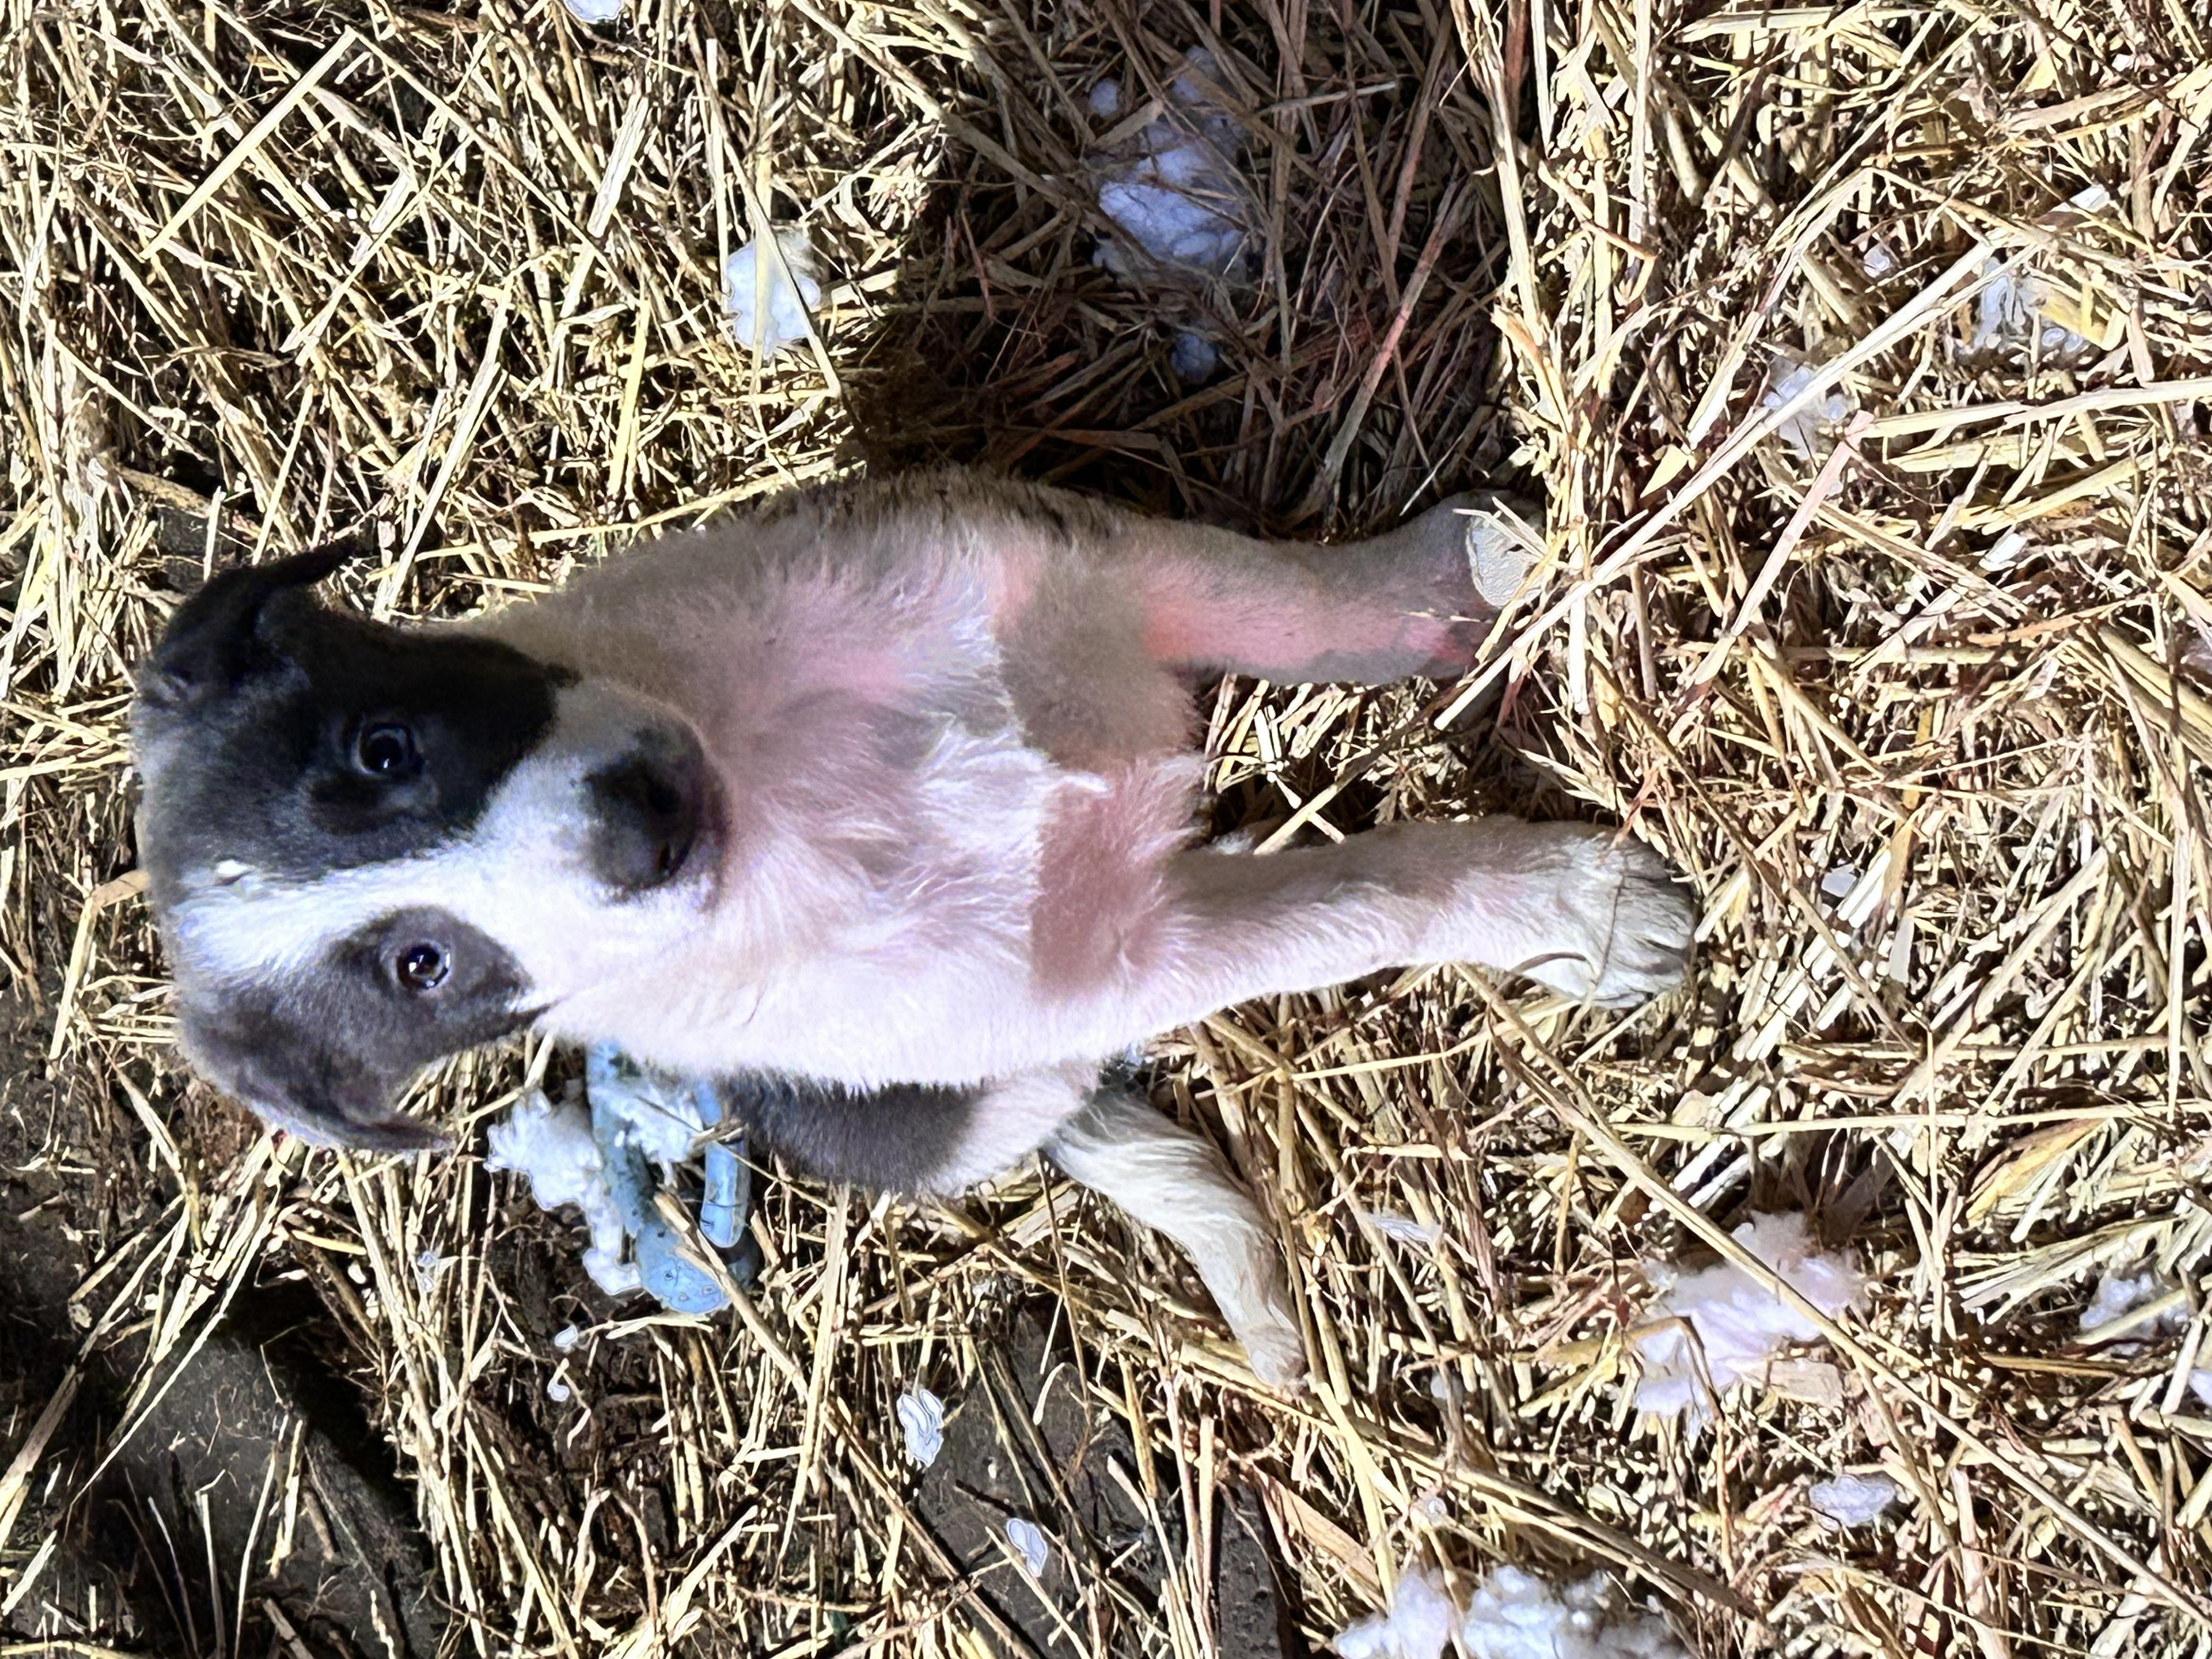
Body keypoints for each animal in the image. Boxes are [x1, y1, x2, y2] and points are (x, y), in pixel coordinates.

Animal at [131, 469, 1694, 1385]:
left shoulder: (1057, 558)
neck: (793, 793)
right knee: (1082, 1109)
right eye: (425, 968)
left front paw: (1453, 581)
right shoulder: (1123, 958)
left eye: (383, 746)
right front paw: (1579, 913)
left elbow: (1283, 594)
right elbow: (1365, 901)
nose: (644, 825)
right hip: (968, 1097)